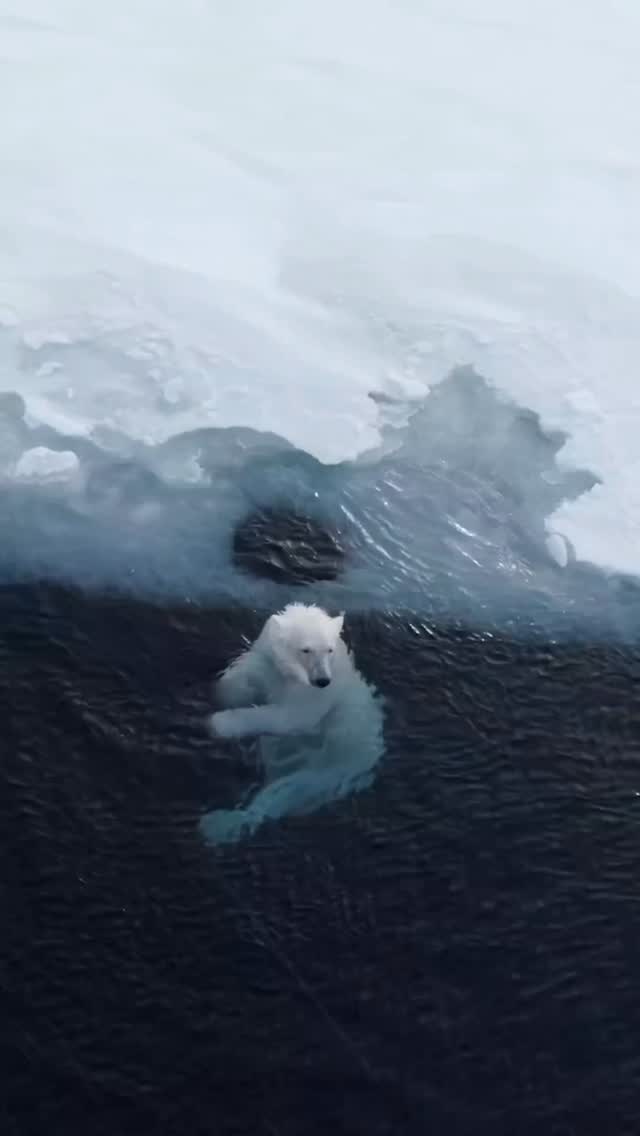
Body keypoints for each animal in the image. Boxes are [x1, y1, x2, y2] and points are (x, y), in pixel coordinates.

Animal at [199, 604, 384, 845]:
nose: (322, 680)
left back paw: (221, 824)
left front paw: (218, 723)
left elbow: (291, 717)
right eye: (306, 649)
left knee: (289, 790)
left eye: (329, 650)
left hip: (333, 766)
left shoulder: (318, 694)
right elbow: (240, 680)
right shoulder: (266, 662)